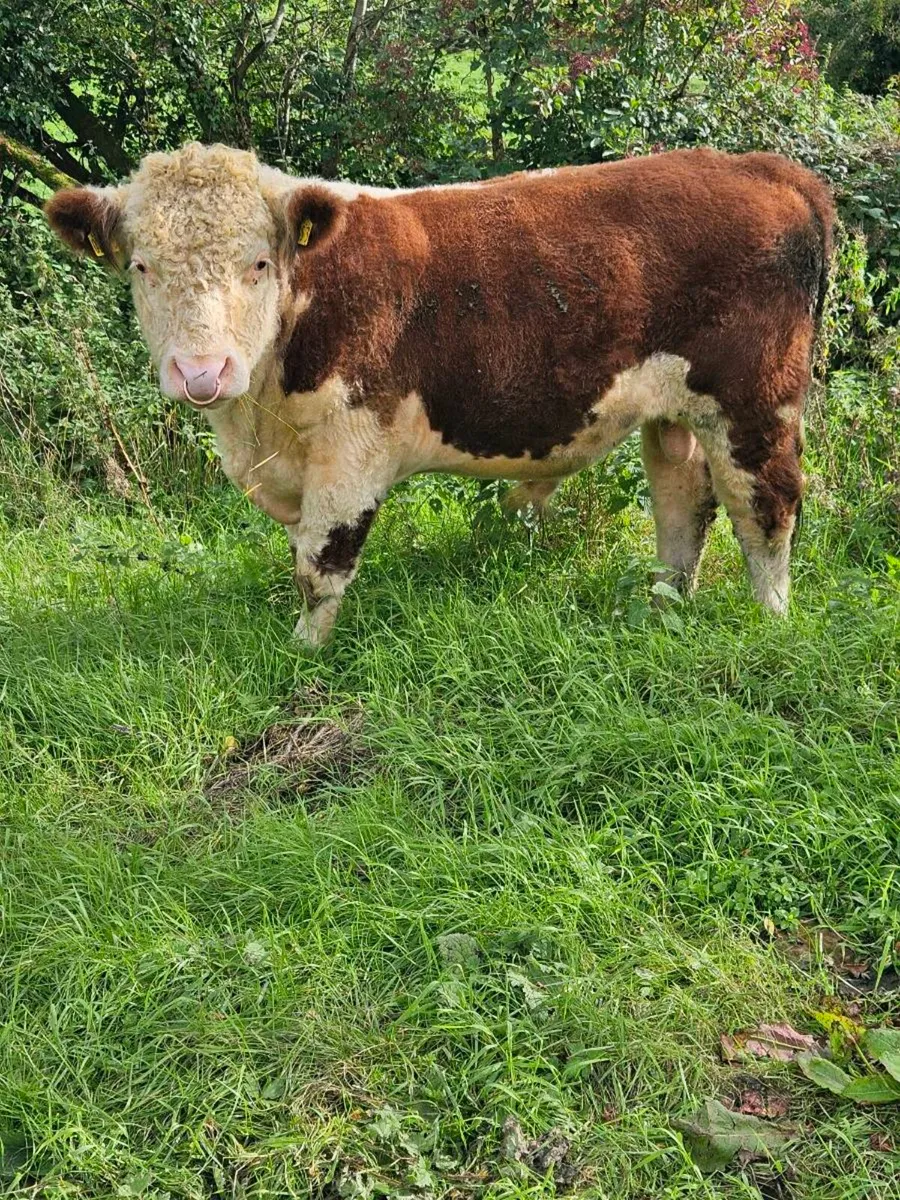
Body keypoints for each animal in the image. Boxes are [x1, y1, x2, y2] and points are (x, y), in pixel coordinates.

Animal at [46, 142, 833, 647]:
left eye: (259, 262)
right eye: (141, 267)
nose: (203, 372)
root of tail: (761, 167)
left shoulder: (352, 451)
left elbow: (319, 567)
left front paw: (304, 656)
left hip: (756, 400)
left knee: (766, 510)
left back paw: (772, 623)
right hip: (676, 406)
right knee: (682, 502)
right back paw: (665, 604)